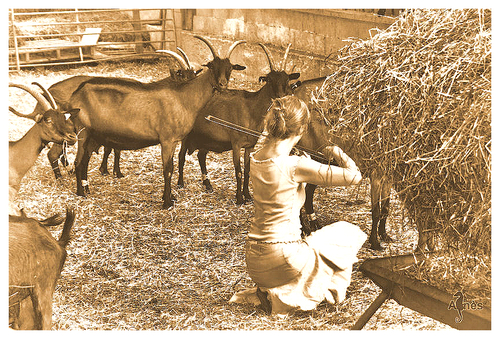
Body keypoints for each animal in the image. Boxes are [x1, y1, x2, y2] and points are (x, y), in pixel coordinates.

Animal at [66, 35, 246, 209]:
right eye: (212, 66)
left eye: (230, 68)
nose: (222, 84)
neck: (183, 98)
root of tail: (75, 95)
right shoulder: (167, 139)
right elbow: (167, 169)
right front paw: (167, 202)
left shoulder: (174, 141)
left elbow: (171, 167)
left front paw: (171, 197)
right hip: (83, 131)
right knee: (78, 162)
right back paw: (81, 193)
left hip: (93, 135)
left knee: (85, 160)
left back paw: (87, 189)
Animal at [177, 42, 300, 205]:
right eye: (269, 79)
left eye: (286, 80)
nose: (280, 97)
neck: (251, 109)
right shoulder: (236, 143)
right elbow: (238, 171)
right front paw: (239, 198)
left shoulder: (250, 145)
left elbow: (247, 170)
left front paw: (247, 195)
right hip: (188, 134)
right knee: (181, 156)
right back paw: (180, 183)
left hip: (206, 137)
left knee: (201, 155)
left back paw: (208, 185)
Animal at [292, 77, 394, 250]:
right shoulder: (376, 175)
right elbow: (376, 210)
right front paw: (375, 242)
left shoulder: (388, 176)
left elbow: (385, 208)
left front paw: (385, 235)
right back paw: (303, 229)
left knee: (309, 192)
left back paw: (313, 225)